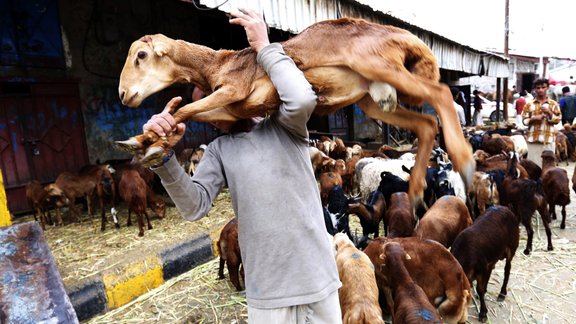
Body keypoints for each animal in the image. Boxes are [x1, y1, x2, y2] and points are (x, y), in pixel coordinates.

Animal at [118, 18, 476, 210]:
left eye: (141, 55)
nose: (123, 94)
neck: (217, 65)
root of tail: (409, 38)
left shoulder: (234, 91)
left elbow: (189, 109)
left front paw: (146, 139)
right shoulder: (234, 109)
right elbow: (190, 113)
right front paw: (145, 141)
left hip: (380, 65)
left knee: (442, 94)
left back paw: (465, 161)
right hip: (373, 99)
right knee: (427, 123)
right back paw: (414, 192)